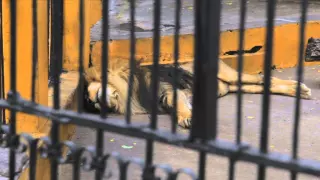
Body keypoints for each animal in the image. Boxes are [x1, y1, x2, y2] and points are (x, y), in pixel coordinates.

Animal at [66, 58, 312, 129]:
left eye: (88, 97)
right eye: (88, 104)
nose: (93, 102)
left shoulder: (169, 91)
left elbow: (182, 106)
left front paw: (187, 118)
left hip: (232, 76)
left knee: (264, 79)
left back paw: (300, 88)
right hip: (235, 86)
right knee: (263, 86)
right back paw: (297, 90)